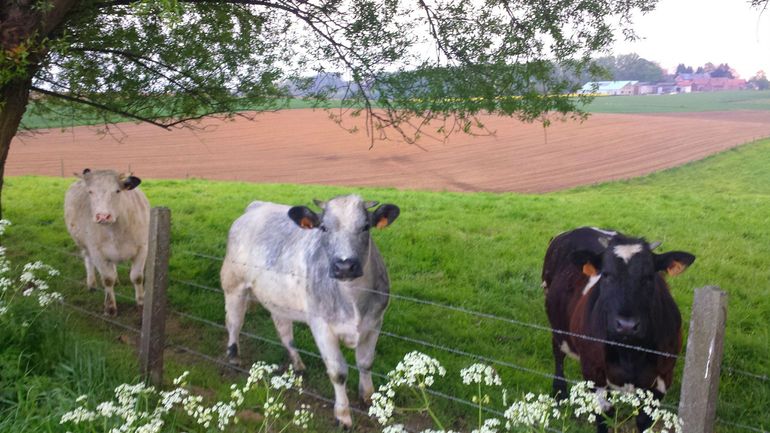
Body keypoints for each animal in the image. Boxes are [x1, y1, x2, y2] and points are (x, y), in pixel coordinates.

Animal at [64, 169, 149, 316]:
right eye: (90, 192)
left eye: (117, 191)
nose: (103, 216)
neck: (117, 231)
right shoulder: (97, 252)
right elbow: (108, 279)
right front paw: (110, 308)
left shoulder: (142, 248)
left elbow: (137, 277)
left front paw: (141, 302)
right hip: (84, 245)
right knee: (88, 260)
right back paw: (91, 284)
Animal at [220, 194, 400, 428]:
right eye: (323, 227)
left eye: (365, 226)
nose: (344, 266)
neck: (353, 300)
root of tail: (256, 206)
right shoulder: (321, 326)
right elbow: (338, 373)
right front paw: (343, 415)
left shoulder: (375, 322)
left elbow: (366, 363)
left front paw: (368, 397)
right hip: (233, 284)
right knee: (234, 322)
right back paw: (233, 355)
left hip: (278, 297)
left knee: (284, 331)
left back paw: (298, 365)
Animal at [542, 227, 695, 433]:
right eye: (606, 275)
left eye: (650, 277)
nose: (626, 325)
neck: (630, 353)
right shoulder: (593, 371)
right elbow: (603, 415)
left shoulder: (663, 375)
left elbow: (644, 420)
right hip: (557, 326)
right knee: (558, 354)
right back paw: (559, 392)